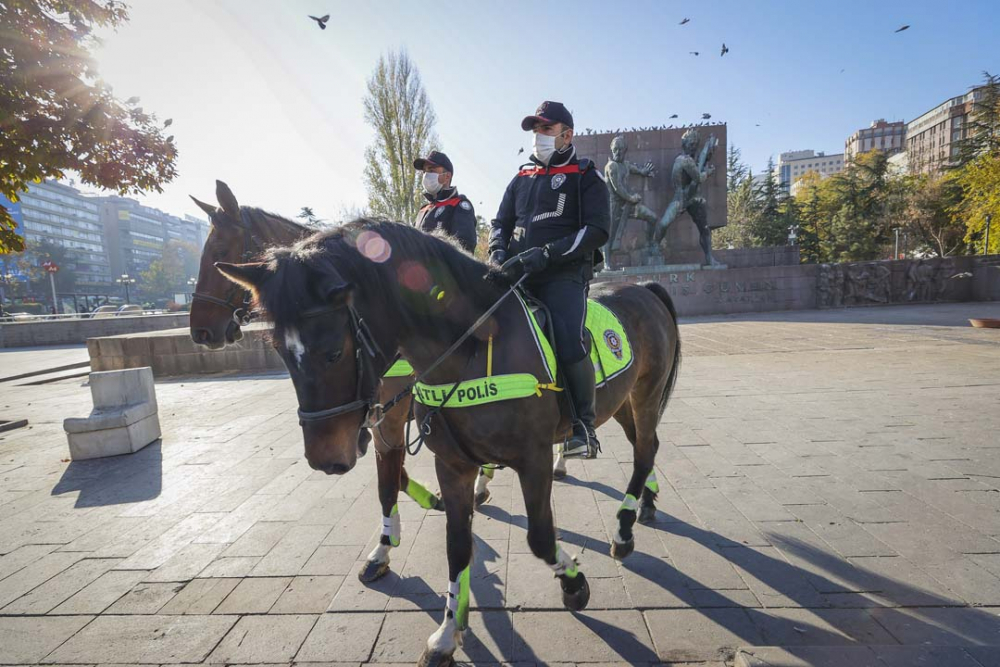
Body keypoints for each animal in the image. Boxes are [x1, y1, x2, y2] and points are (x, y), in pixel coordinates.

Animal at [188, 180, 446, 580]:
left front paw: (386, 544)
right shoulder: (372, 415)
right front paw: (409, 514)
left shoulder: (389, 414)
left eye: (218, 250)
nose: (199, 330)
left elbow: (389, 477)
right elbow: (390, 473)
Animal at [213, 220, 680, 667]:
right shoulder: (448, 463)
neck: (474, 346)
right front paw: (447, 631)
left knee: (644, 449)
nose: (325, 459)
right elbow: (453, 542)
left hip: (645, 391)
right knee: (649, 444)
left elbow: (540, 538)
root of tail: (645, 287)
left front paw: (574, 584)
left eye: (333, 352)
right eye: (279, 351)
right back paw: (644, 503)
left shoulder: (532, 458)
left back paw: (624, 527)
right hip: (619, 401)